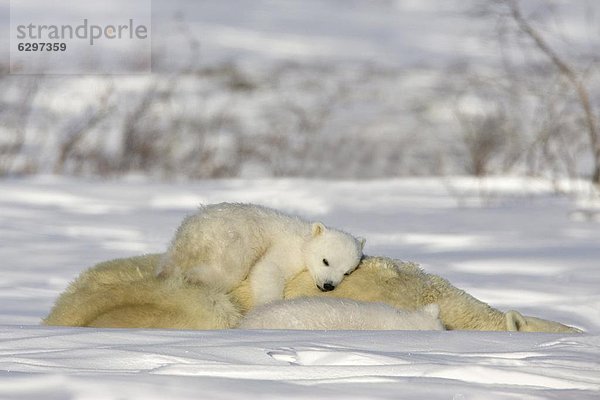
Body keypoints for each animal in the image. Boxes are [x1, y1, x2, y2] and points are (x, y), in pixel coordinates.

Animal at [158, 202, 366, 304]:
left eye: (347, 272)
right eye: (325, 261)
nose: (328, 285)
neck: (304, 238)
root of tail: (192, 233)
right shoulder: (287, 248)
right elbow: (268, 267)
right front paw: (269, 303)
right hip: (232, 239)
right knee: (231, 270)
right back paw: (196, 278)